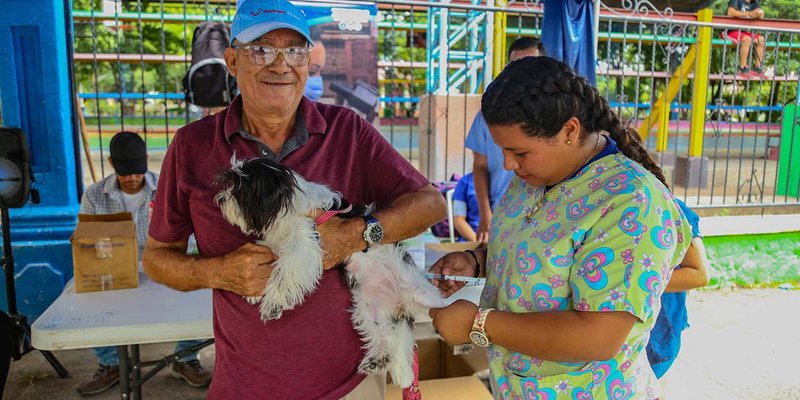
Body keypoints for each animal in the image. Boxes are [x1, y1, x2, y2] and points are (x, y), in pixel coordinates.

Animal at [214, 157, 444, 388]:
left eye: (240, 188)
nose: (221, 199)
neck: (290, 208)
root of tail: (402, 304)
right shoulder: (277, 244)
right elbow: (271, 262)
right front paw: (253, 291)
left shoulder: (304, 243)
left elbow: (285, 273)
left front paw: (274, 303)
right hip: (368, 311)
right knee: (385, 338)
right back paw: (377, 360)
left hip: (414, 285)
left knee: (433, 299)